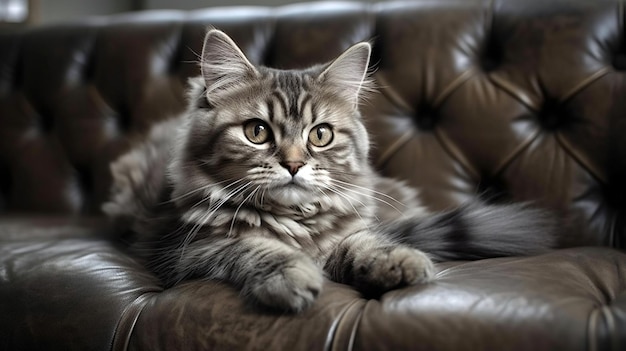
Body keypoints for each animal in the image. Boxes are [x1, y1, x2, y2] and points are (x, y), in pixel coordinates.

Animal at [102, 28, 556, 312]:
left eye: (320, 135)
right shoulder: (184, 251)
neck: (292, 221)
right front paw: (292, 277)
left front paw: (398, 261)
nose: (293, 164)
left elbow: (362, 244)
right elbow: (253, 247)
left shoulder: (345, 234)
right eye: (257, 132)